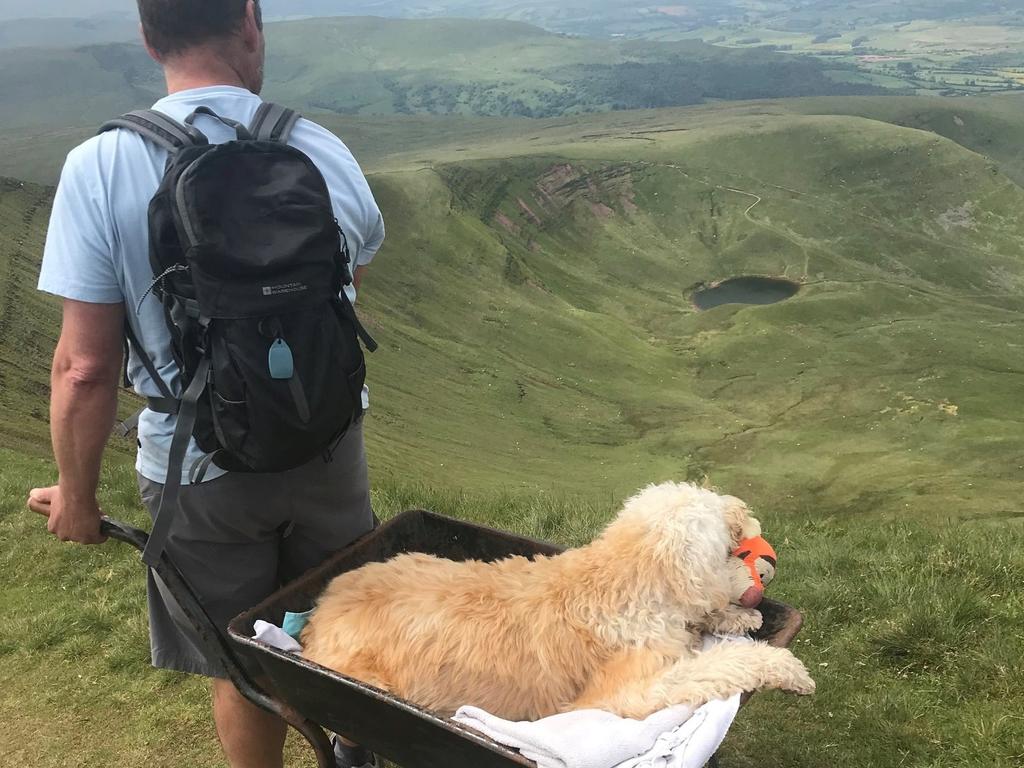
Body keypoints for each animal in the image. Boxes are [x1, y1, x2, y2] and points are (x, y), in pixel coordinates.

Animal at [301, 481, 815, 720]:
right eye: (730, 542)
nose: (745, 513)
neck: (626, 581)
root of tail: (316, 612)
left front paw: (740, 617)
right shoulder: (626, 693)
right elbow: (718, 665)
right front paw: (785, 668)